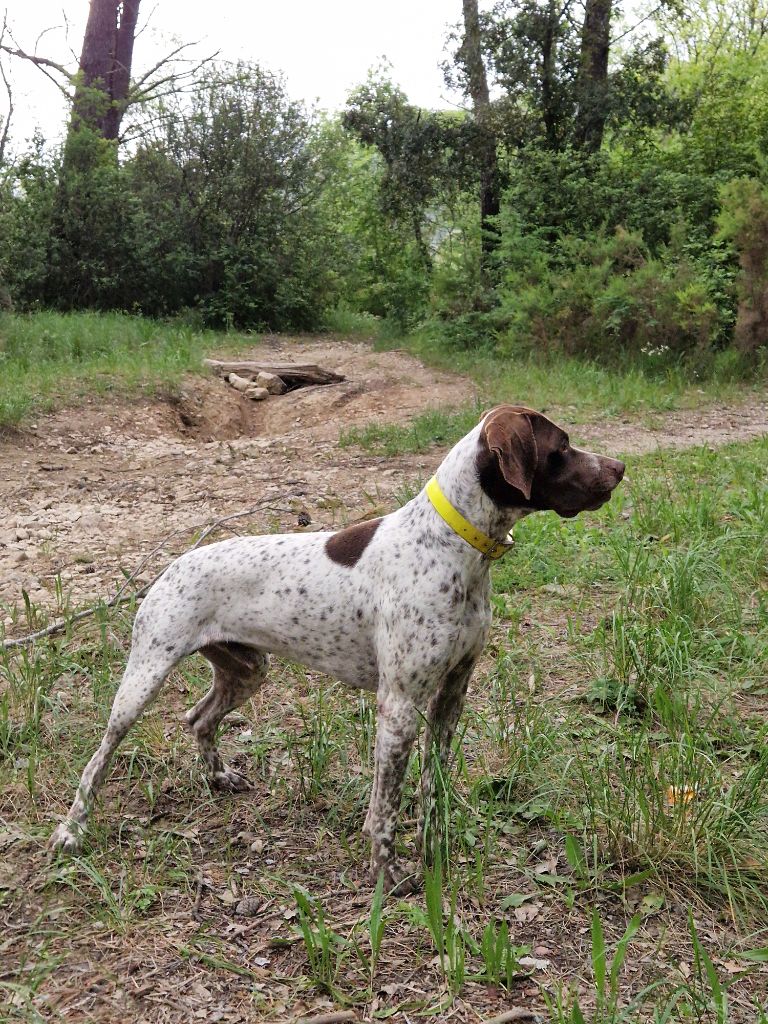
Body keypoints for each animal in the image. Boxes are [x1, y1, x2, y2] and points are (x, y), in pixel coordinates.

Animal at [49, 403, 626, 892]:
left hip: (247, 670)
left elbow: (432, 790)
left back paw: (218, 776)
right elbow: (384, 809)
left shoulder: (450, 698)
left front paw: (435, 853)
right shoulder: (399, 708)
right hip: (143, 679)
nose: (620, 468)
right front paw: (386, 875)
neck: (452, 544)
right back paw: (71, 831)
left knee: (197, 718)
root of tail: (173, 564)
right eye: (562, 445)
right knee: (97, 760)